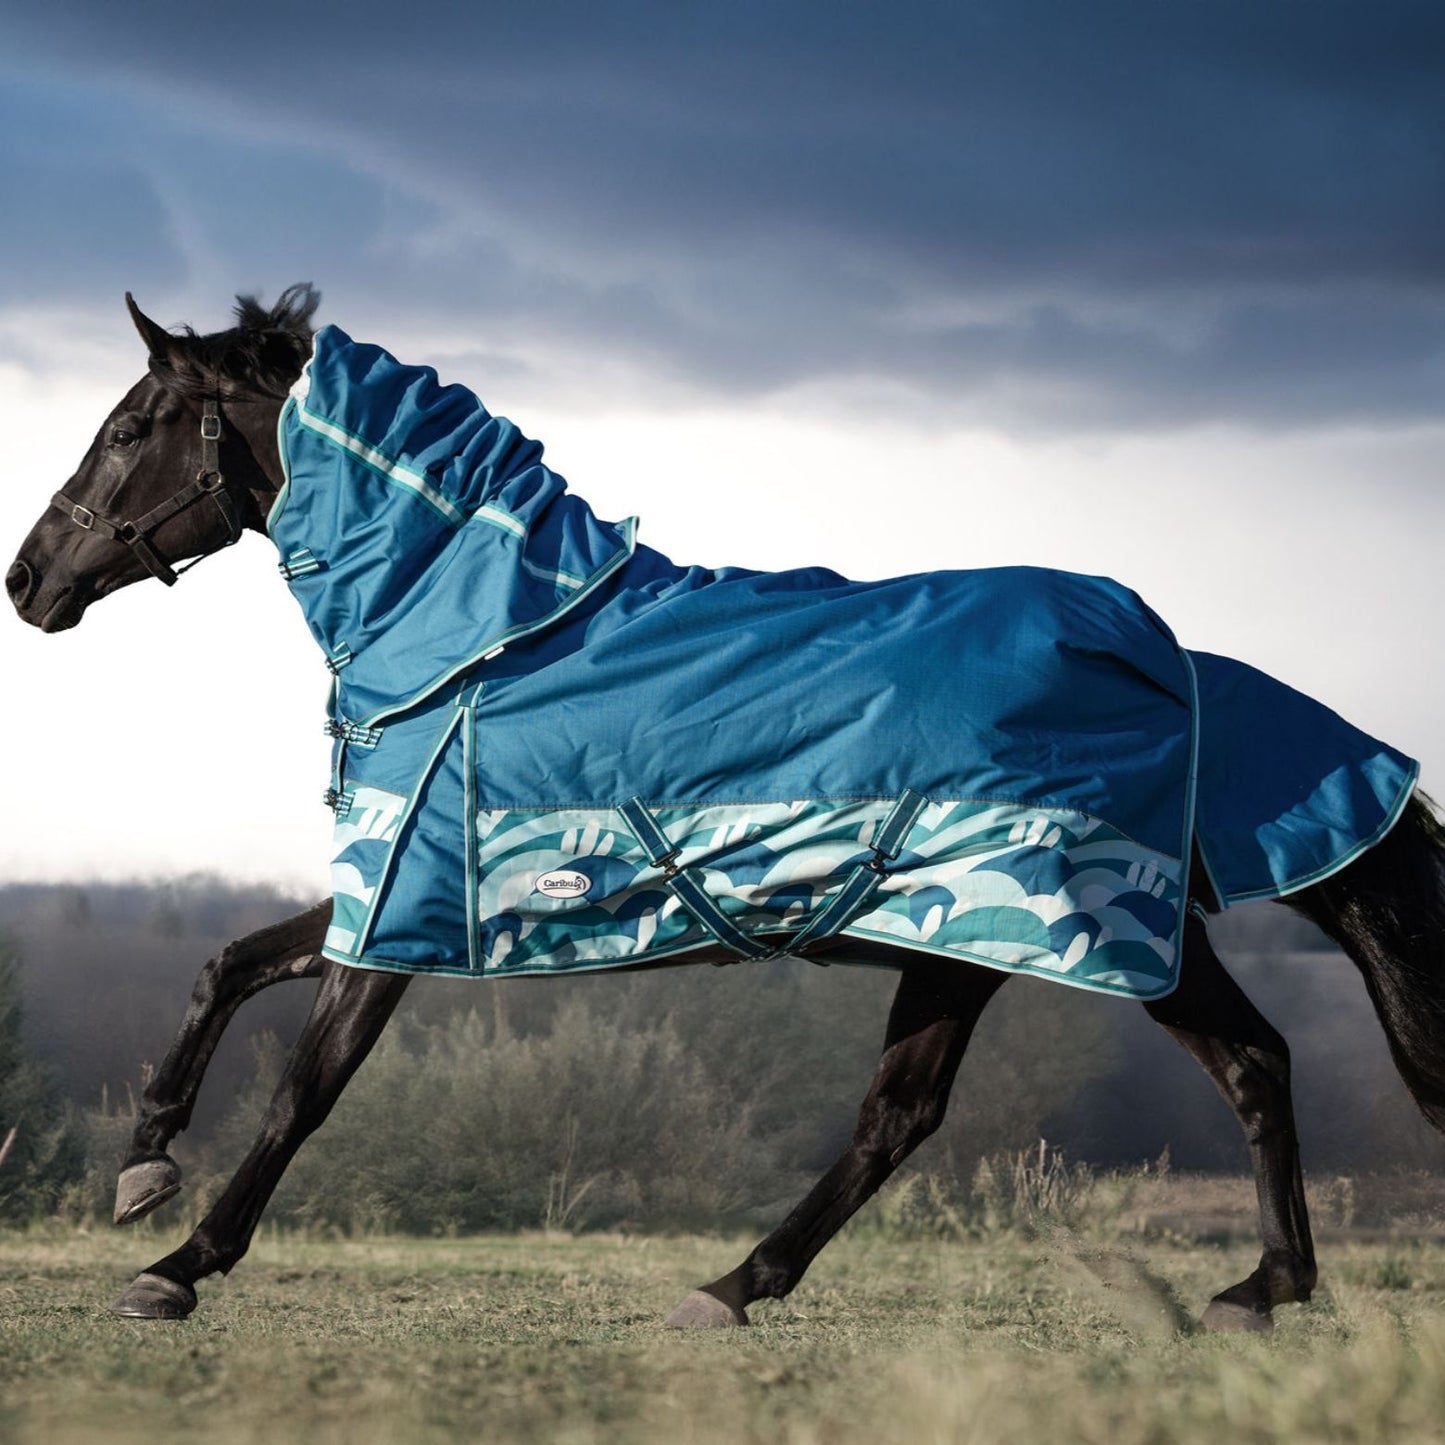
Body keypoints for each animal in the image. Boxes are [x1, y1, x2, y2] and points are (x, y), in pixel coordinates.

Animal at [9, 285, 1445, 1335]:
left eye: (129, 429)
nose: (29, 580)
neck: (480, 638)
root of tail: (1172, 663)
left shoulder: (407, 908)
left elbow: (303, 1089)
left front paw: (177, 1261)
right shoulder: (393, 893)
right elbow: (227, 963)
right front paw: (144, 1163)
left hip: (1089, 930)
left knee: (1218, 1067)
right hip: (971, 950)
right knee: (934, 1111)